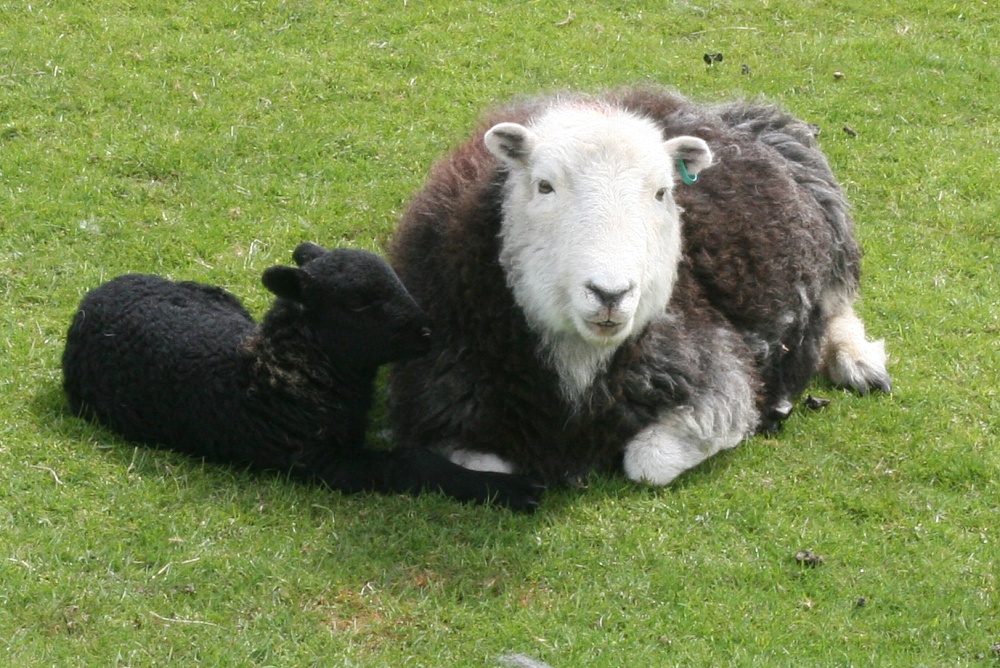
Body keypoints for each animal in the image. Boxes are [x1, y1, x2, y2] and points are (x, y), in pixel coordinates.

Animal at [61, 242, 543, 510]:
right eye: (358, 303)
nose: (427, 332)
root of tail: (98, 293)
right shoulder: (325, 464)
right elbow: (411, 463)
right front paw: (509, 489)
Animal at [387, 88, 891, 487]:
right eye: (544, 186)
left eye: (662, 192)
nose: (610, 294)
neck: (580, 362)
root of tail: (724, 112)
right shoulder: (435, 399)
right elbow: (483, 468)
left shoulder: (720, 375)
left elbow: (649, 461)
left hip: (831, 234)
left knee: (837, 305)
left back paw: (857, 361)